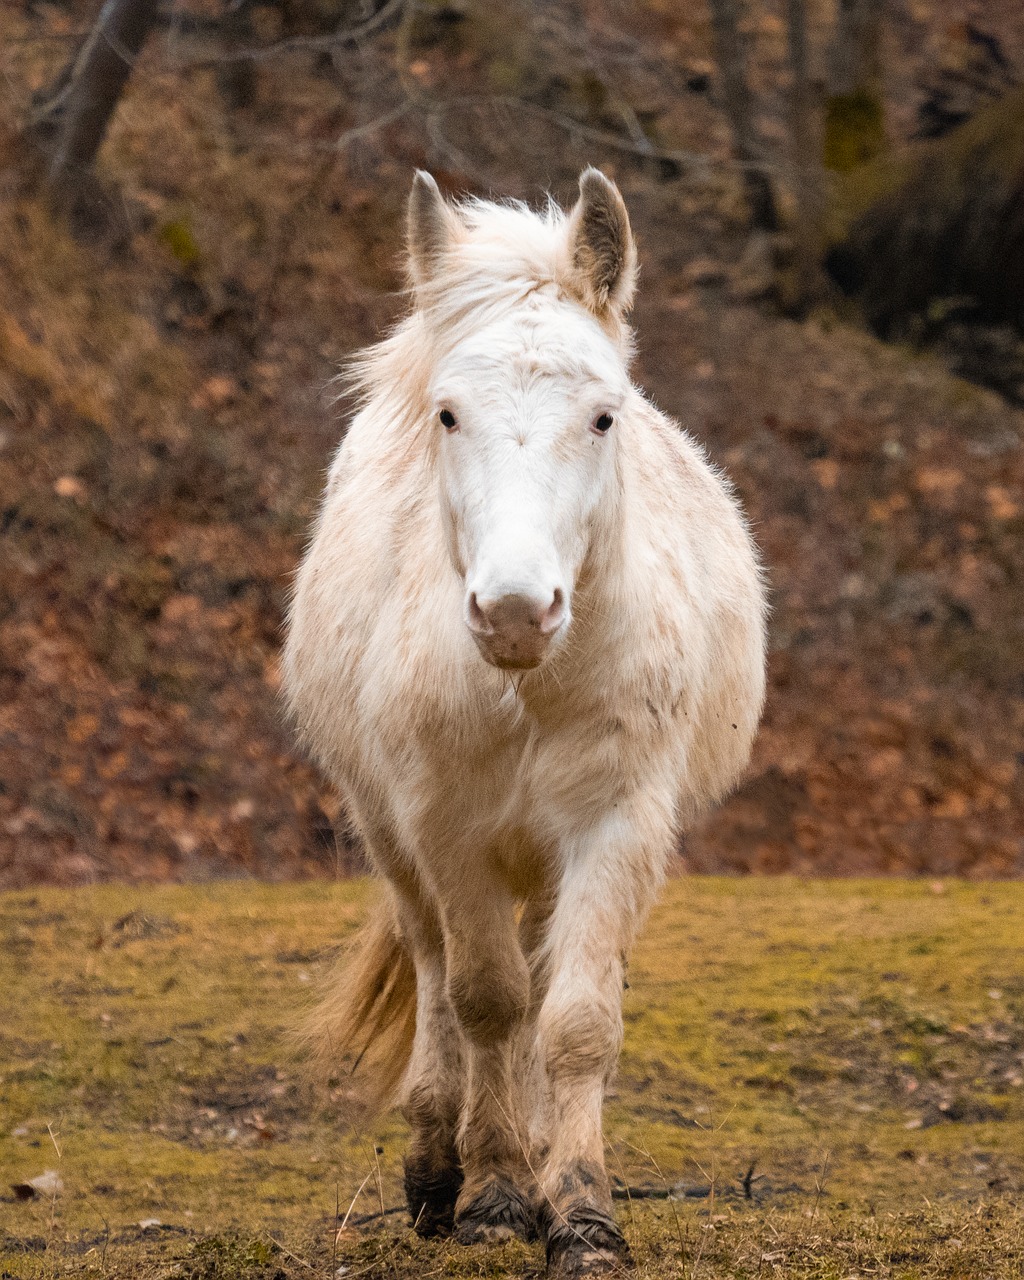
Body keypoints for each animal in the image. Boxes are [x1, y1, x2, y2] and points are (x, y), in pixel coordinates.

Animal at [284, 172, 762, 1280]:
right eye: (450, 413)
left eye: (603, 416)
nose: (513, 611)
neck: (527, 689)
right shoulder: (447, 831)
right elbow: (486, 1000)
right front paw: (496, 1193)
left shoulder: (615, 825)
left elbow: (575, 1021)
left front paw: (578, 1211)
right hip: (393, 835)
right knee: (434, 972)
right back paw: (435, 1166)